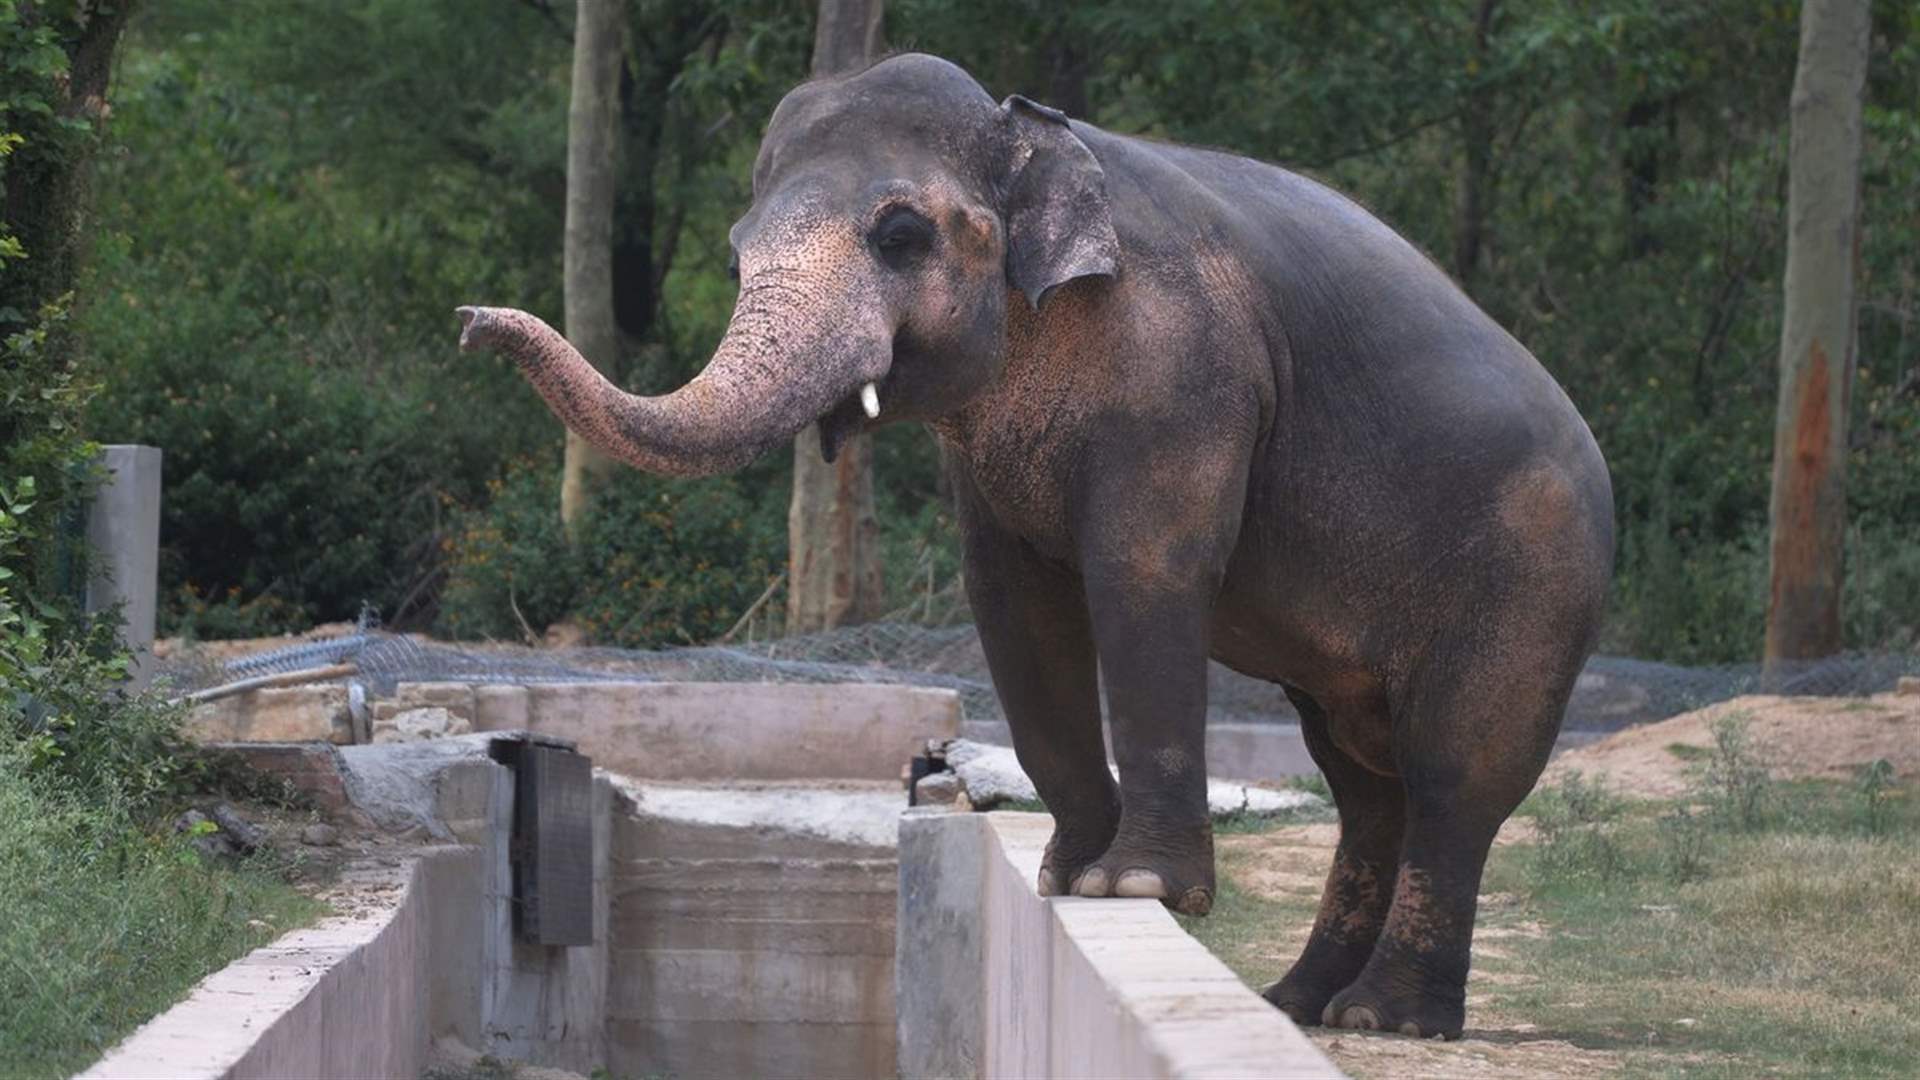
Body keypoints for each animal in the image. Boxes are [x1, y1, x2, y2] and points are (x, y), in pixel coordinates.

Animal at [457, 52, 1613, 1040]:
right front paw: (1069, 878)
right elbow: (1010, 598)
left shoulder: (1185, 370)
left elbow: (1145, 575)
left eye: (900, 235)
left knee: (1453, 776)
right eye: (736, 256)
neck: (1030, 137)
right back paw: (1301, 1004)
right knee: (1363, 780)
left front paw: (1137, 888)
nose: (471, 321)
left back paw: (1384, 1019)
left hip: (1532, 580)